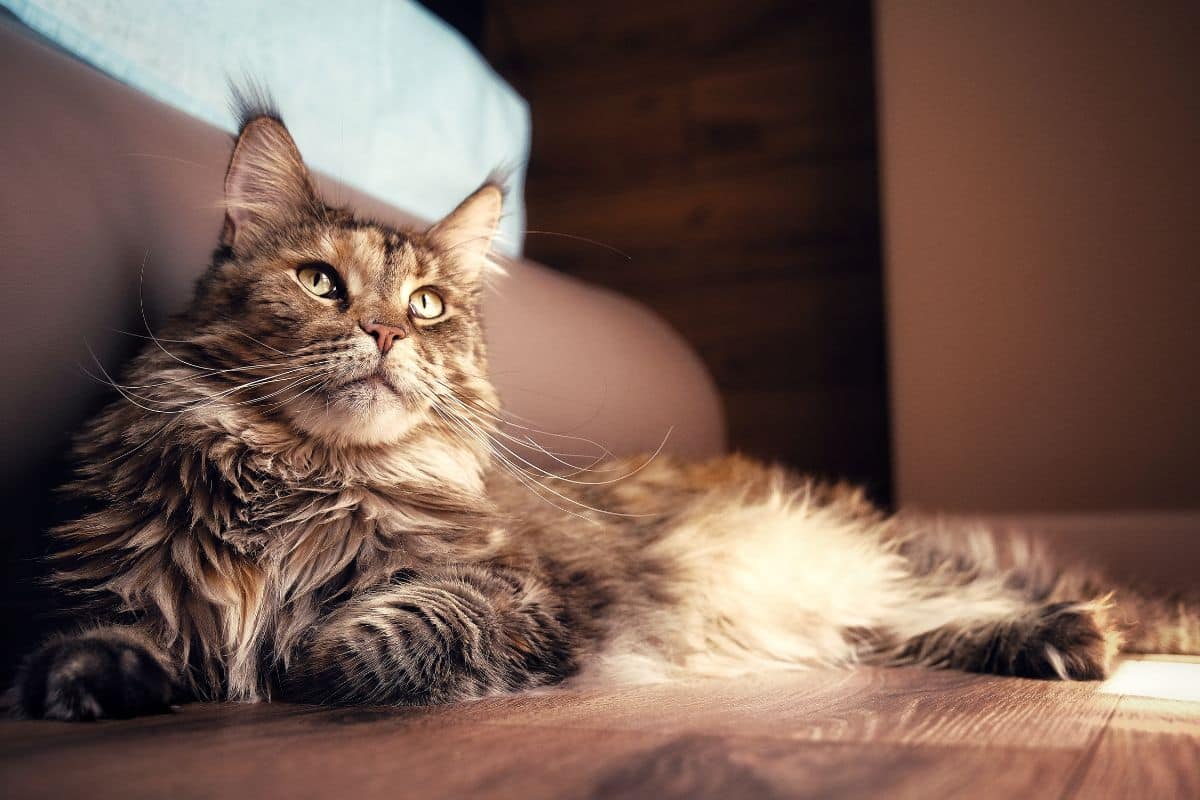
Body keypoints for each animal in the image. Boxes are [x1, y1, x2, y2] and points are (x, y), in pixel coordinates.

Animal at [11, 103, 1200, 724]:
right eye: (319, 283)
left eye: (428, 303)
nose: (389, 333)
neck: (302, 479)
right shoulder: (143, 582)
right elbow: (118, 631)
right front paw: (82, 682)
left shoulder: (522, 599)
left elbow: (402, 627)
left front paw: (314, 652)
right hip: (866, 612)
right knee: (919, 626)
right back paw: (1055, 647)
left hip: (889, 566)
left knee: (1039, 596)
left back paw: (1086, 637)